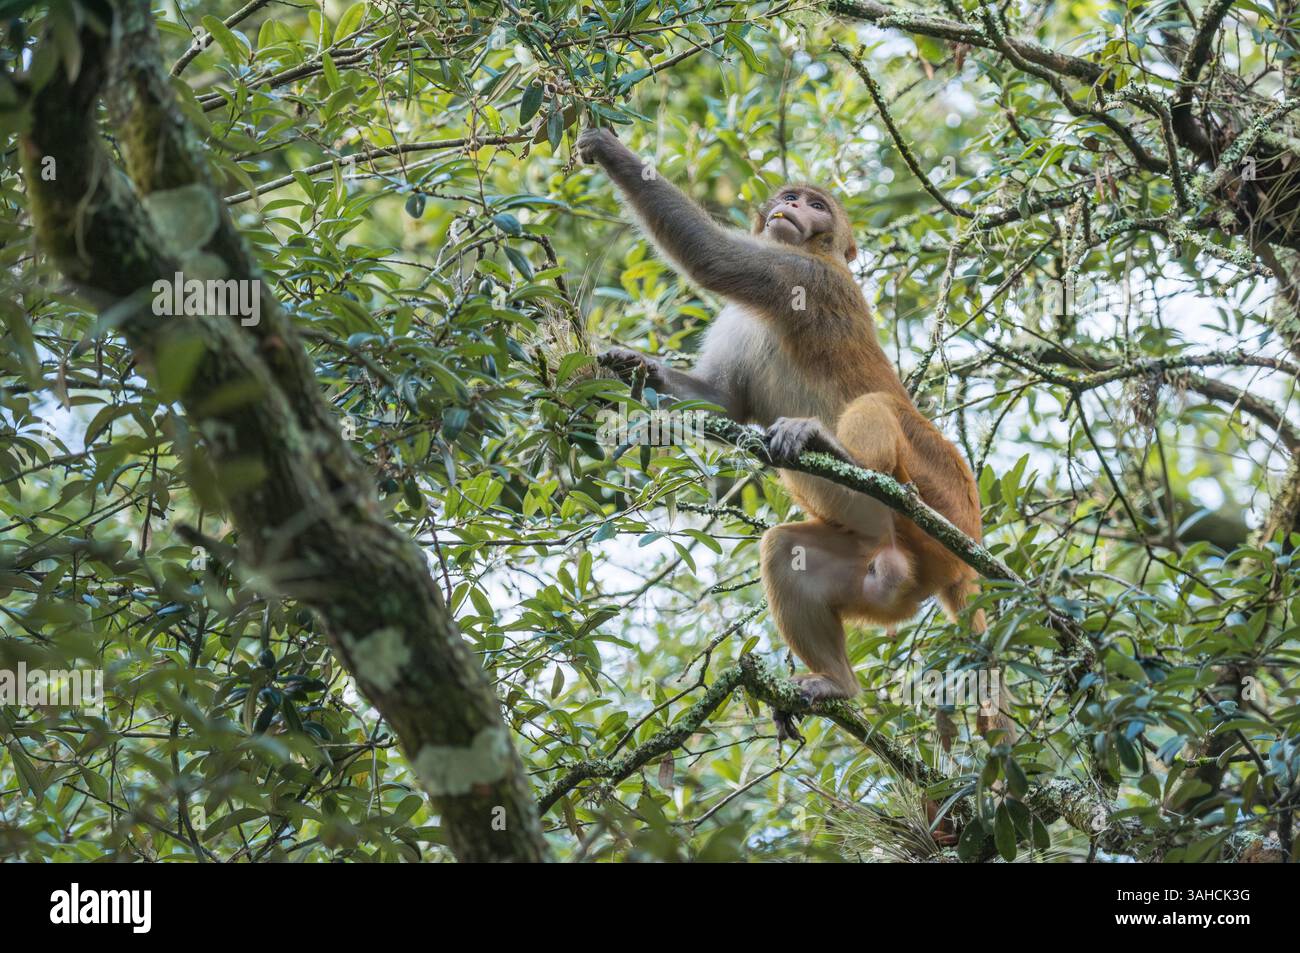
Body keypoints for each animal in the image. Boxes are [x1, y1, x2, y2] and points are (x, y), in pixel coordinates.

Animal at [576, 127, 988, 741]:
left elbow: (712, 258)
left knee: (877, 407)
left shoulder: (803, 276)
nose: (793, 209)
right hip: (887, 567)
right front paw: (635, 368)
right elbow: (719, 400)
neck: (817, 251)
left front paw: (613, 152)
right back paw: (838, 682)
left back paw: (834, 448)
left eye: (817, 206)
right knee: (785, 550)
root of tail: (965, 554)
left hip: (942, 498)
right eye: (791, 196)